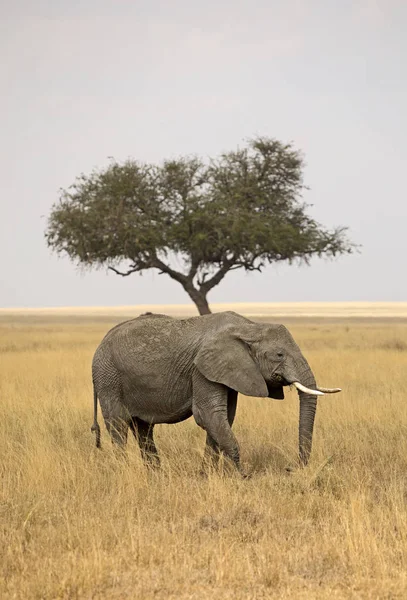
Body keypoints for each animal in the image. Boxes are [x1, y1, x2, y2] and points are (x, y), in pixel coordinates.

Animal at [91, 312, 342, 472]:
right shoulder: (202, 369)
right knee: (118, 424)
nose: (292, 468)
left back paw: (155, 475)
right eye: (279, 355)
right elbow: (209, 414)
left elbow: (224, 418)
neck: (250, 326)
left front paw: (207, 476)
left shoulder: (228, 371)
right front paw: (242, 476)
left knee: (144, 429)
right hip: (108, 377)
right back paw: (123, 471)